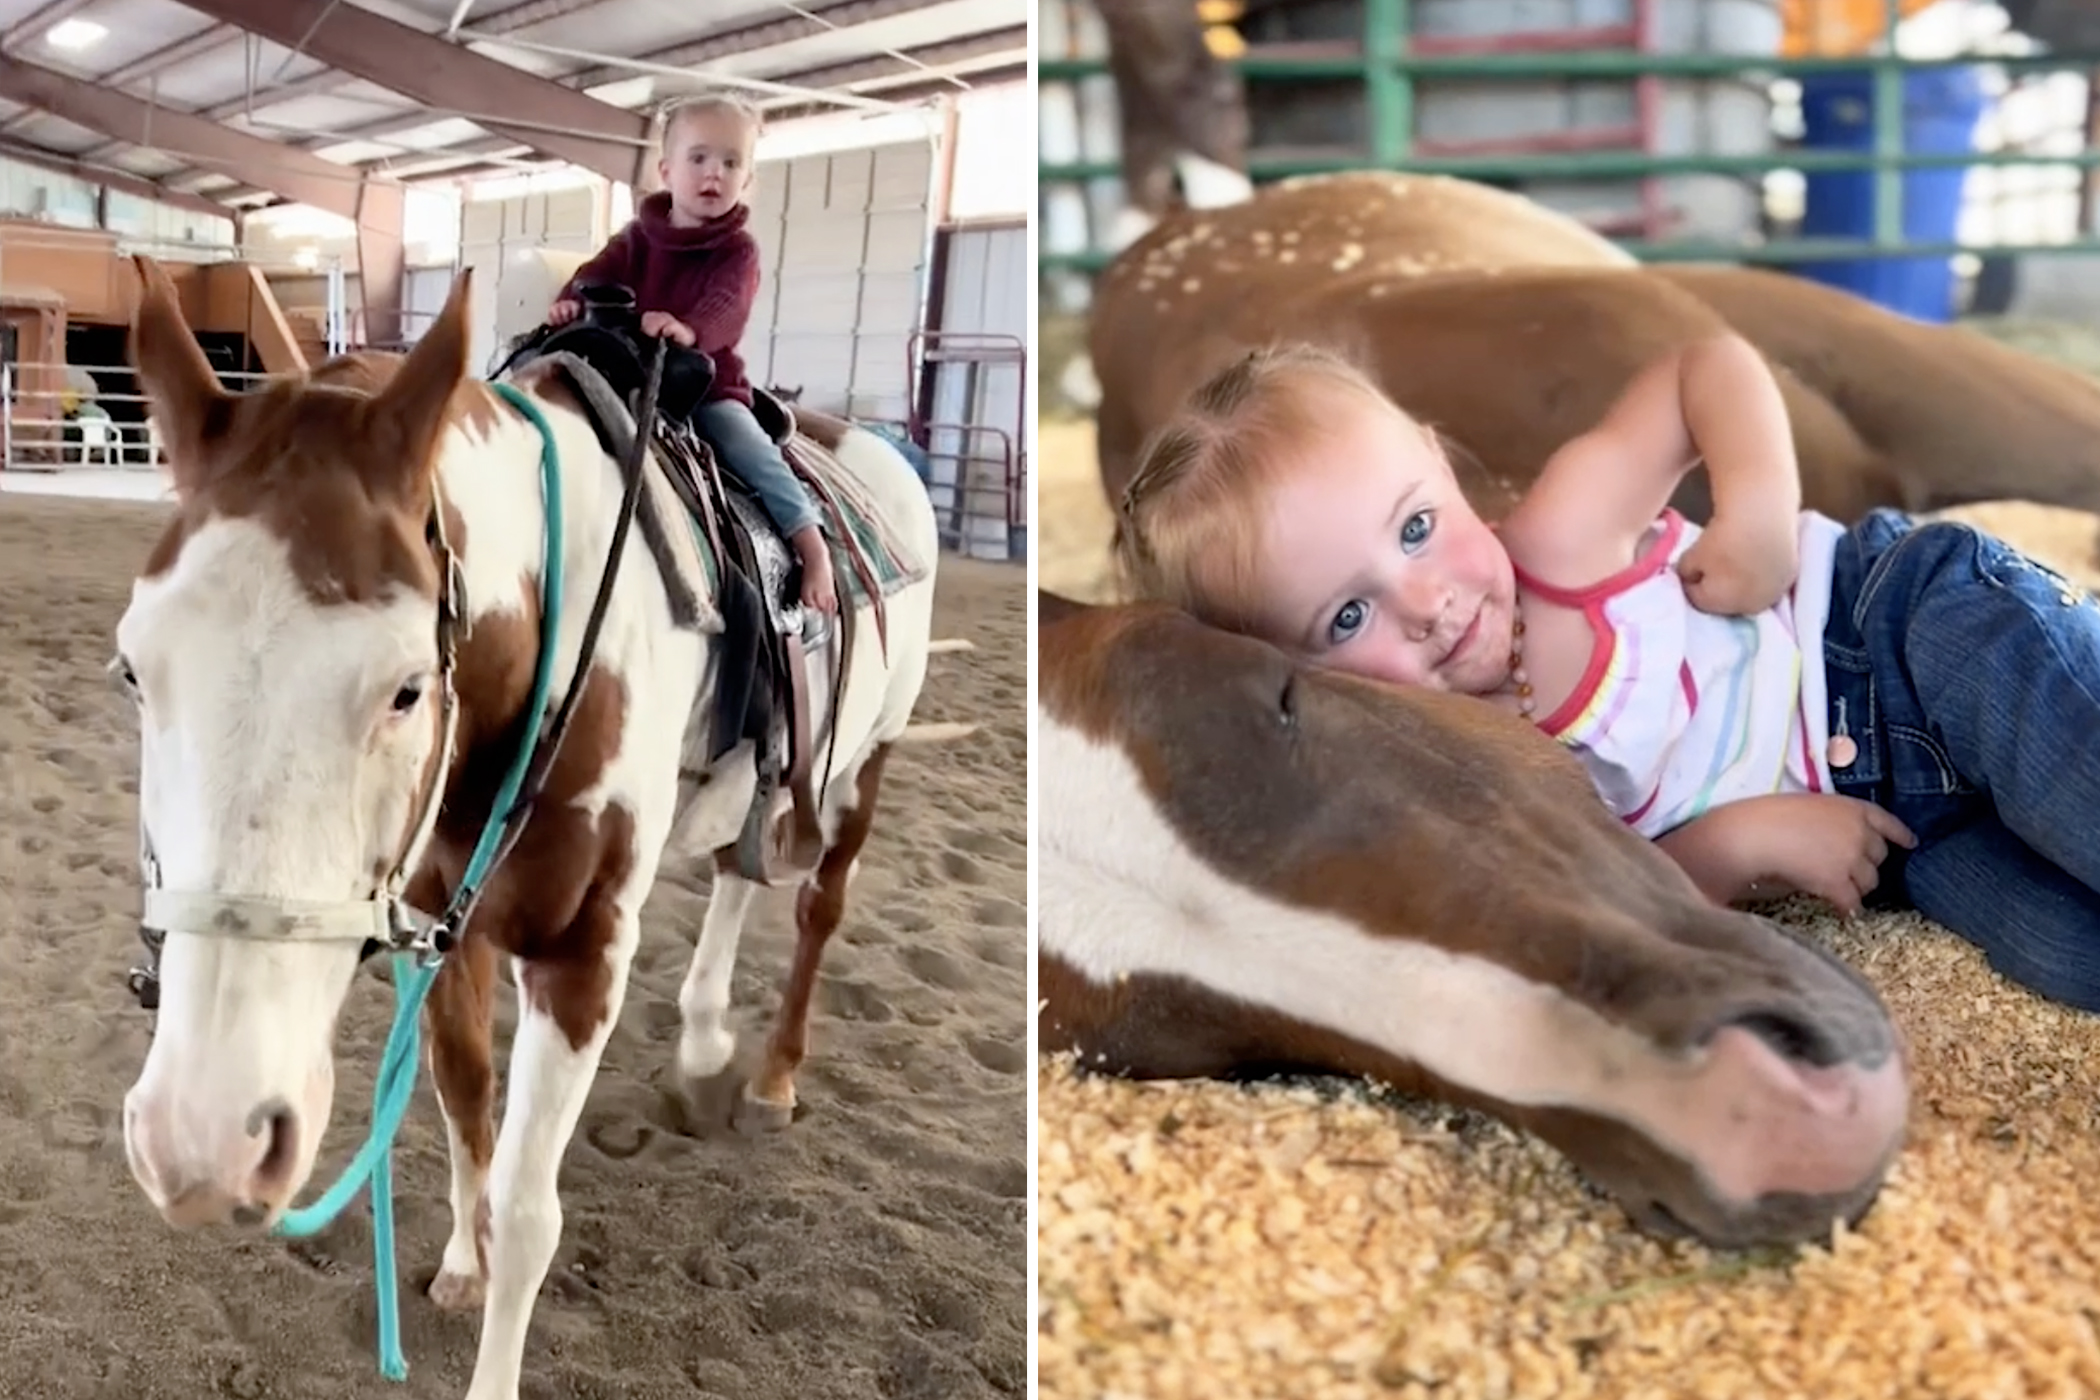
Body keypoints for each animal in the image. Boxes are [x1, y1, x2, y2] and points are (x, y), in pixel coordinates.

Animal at [106, 255, 940, 1400]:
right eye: (135, 669)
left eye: (407, 688)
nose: (203, 1141)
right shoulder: (442, 916)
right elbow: (466, 1101)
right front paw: (463, 1261)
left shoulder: (580, 951)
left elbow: (531, 1207)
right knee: (737, 869)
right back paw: (704, 1037)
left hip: (868, 765)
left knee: (819, 908)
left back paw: (771, 1076)